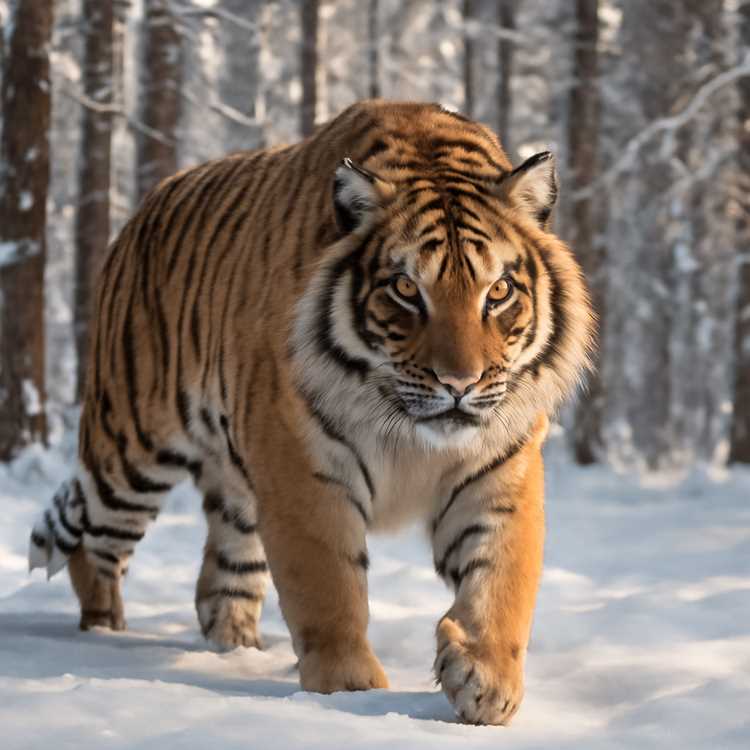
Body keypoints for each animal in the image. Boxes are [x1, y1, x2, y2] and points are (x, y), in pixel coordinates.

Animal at [29, 100, 594, 725]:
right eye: (405, 289)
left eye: (498, 292)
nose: (459, 384)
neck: (411, 434)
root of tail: (144, 207)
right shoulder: (304, 469)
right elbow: (329, 586)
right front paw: (350, 689)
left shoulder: (499, 471)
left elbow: (502, 578)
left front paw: (485, 680)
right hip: (132, 451)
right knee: (92, 544)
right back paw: (106, 632)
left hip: (238, 490)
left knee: (222, 578)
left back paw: (237, 649)